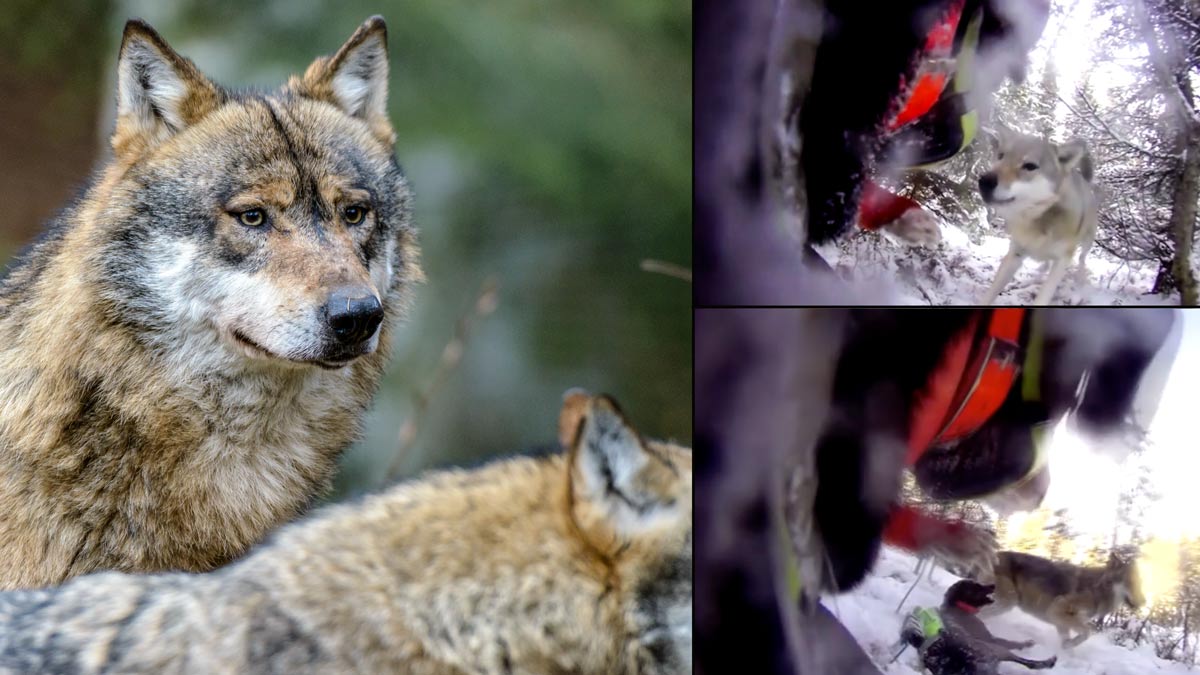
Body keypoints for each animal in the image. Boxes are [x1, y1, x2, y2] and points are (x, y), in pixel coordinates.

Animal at [974, 131, 1099, 305]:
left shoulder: (1061, 262)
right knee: (1045, 265)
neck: (1038, 217)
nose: (984, 181)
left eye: (1030, 166)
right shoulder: (1015, 254)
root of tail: (1085, 182)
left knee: (1082, 262)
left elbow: (1042, 298)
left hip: (1085, 244)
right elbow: (990, 293)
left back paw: (1078, 288)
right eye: (1001, 156)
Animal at [974, 552, 1142, 648]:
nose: (1142, 602)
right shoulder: (1057, 609)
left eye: (1140, 583)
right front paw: (1070, 645)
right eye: (1129, 582)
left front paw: (1066, 649)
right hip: (1009, 601)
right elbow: (1088, 632)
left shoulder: (1061, 620)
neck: (1098, 590)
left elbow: (1070, 638)